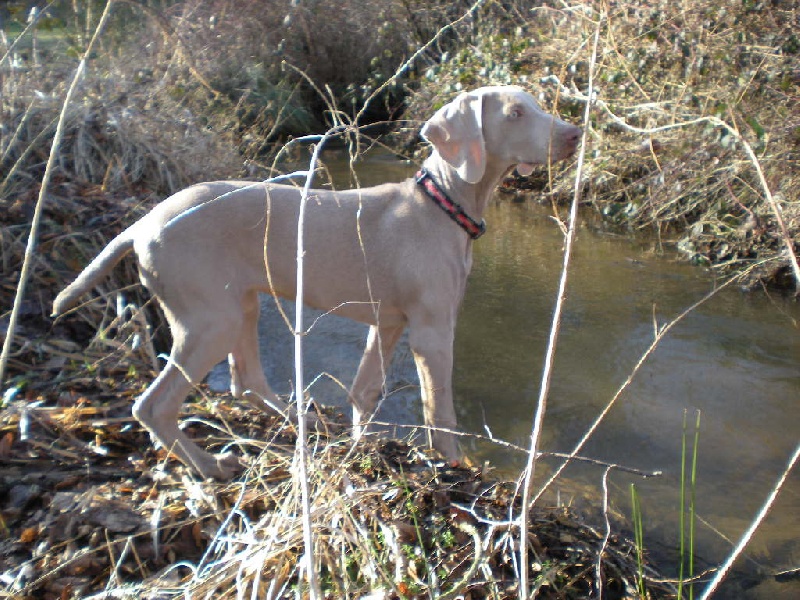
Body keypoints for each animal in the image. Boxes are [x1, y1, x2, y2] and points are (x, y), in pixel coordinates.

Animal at [51, 85, 580, 478]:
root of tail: (142, 224)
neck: (441, 203)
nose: (575, 134)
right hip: (209, 320)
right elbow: (439, 409)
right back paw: (211, 465)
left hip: (241, 303)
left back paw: (299, 419)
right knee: (153, 407)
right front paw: (454, 466)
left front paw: (363, 447)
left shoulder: (387, 323)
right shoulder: (432, 330)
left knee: (245, 382)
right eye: (515, 113)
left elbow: (364, 392)